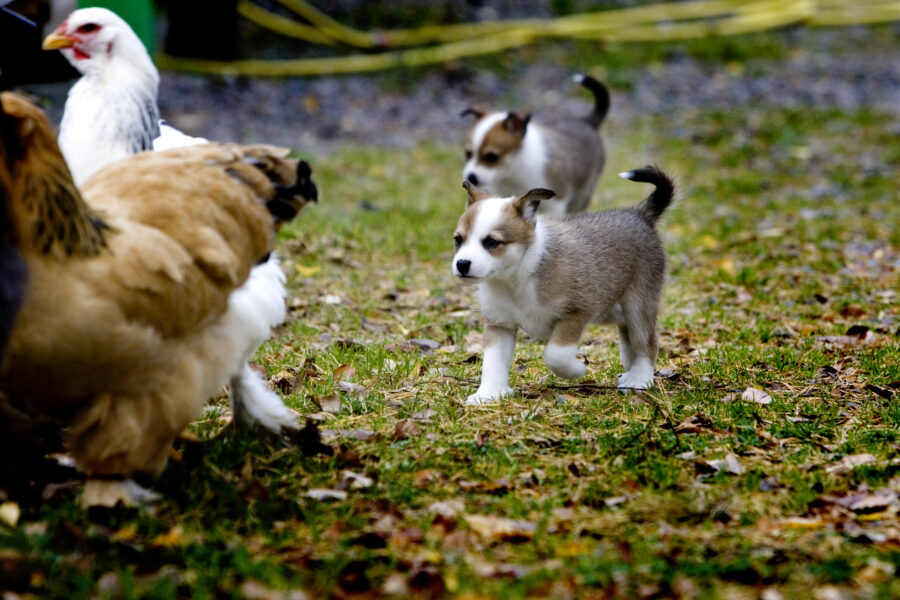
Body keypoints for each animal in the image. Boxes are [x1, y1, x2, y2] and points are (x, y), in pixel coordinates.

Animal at [450, 166, 676, 406]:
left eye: (492, 242)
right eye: (458, 239)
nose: (462, 264)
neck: (517, 279)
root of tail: (639, 214)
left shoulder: (576, 313)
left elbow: (555, 355)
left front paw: (577, 371)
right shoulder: (500, 325)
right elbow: (492, 363)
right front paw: (488, 394)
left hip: (638, 306)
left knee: (648, 343)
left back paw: (640, 379)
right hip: (615, 310)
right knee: (628, 341)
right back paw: (631, 372)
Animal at [460, 73, 608, 217]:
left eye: (491, 156)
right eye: (468, 154)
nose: (470, 177)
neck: (512, 174)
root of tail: (587, 122)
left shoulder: (556, 203)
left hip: (583, 193)